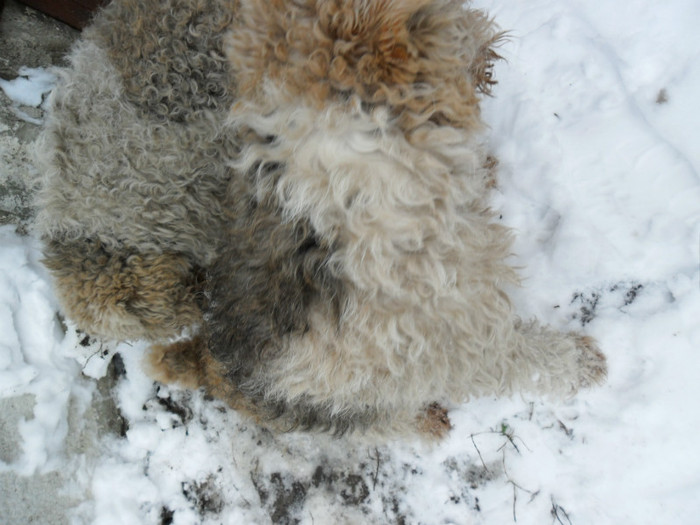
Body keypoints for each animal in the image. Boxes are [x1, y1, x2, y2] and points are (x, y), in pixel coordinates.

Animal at [35, 0, 608, 438]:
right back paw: (430, 421)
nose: (489, 37)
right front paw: (587, 363)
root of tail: (208, 361)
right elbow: (527, 356)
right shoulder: (459, 331)